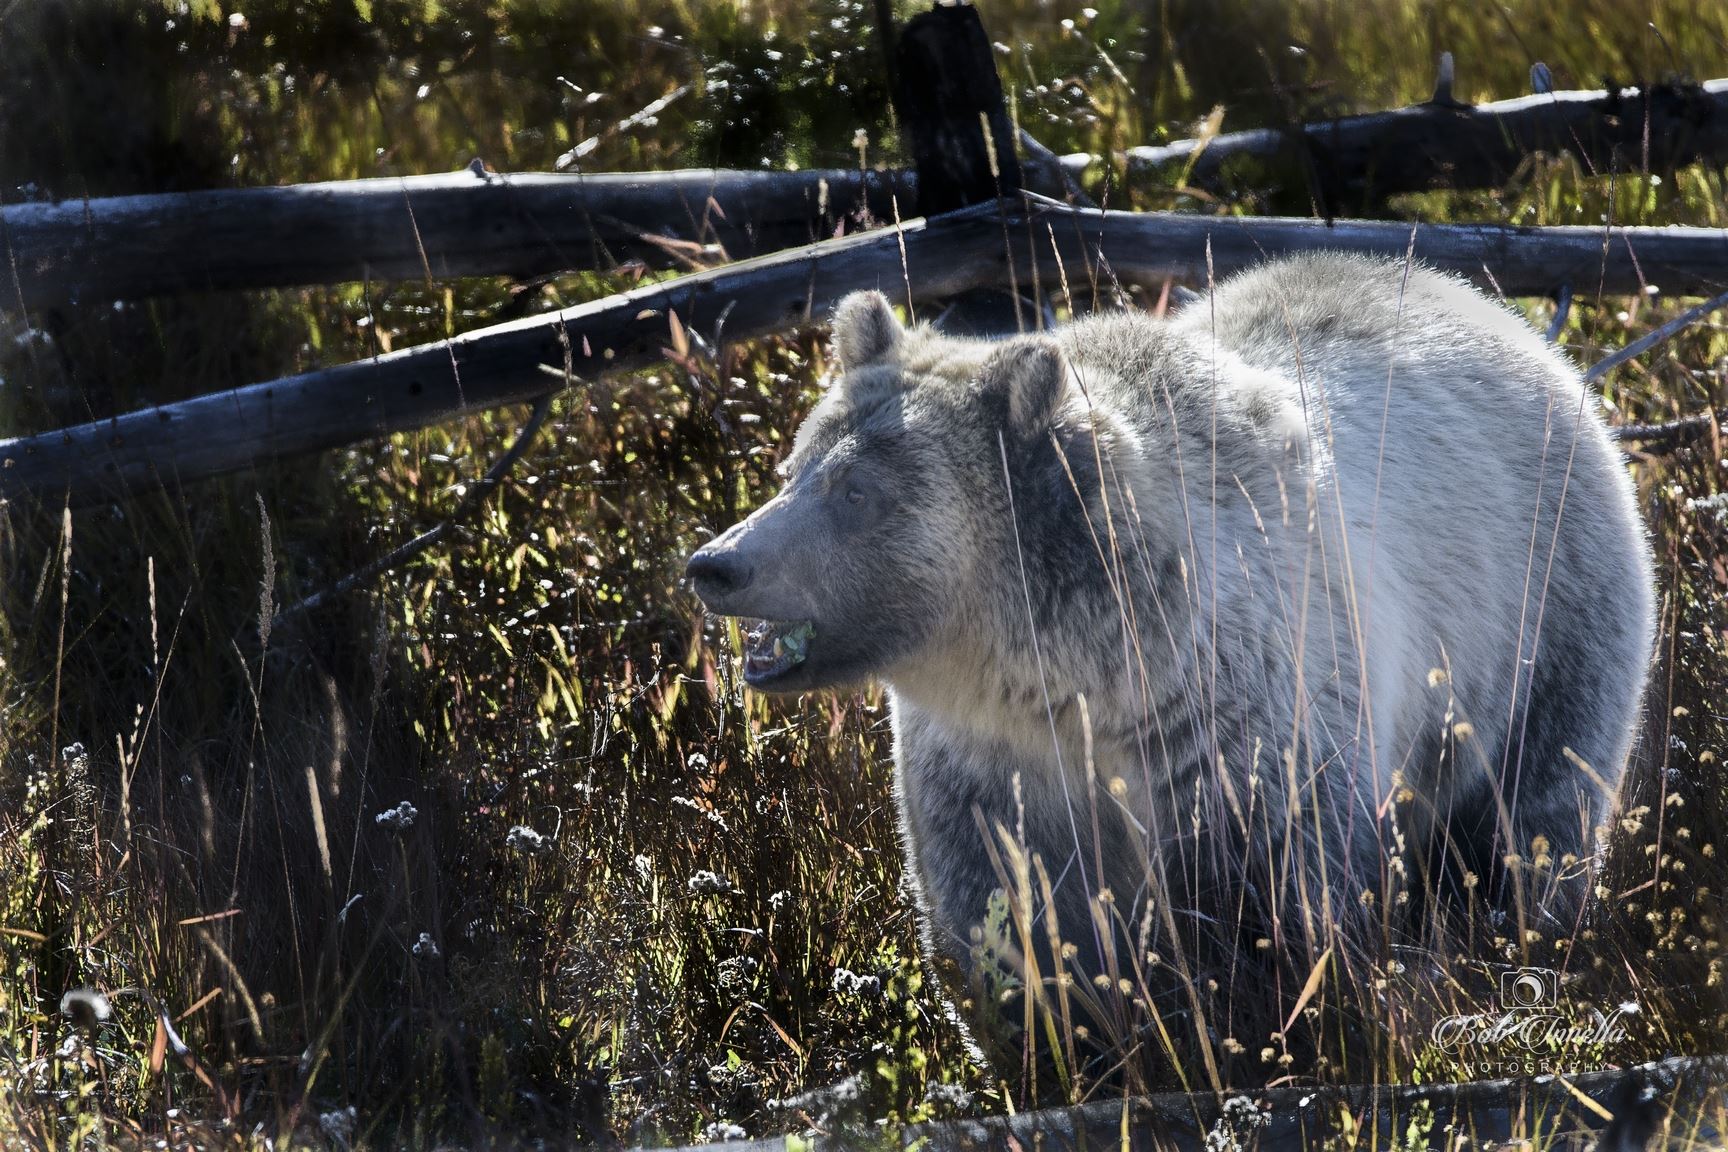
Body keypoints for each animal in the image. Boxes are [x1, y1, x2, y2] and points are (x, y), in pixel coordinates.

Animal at [680, 253, 1651, 1091]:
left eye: (856, 494)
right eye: (796, 463)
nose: (718, 564)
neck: (1073, 680)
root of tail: (1501, 316)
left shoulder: (1238, 719)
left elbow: (1259, 912)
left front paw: (1254, 1039)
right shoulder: (987, 767)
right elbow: (1007, 919)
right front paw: (1063, 1057)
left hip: (1542, 613)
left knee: (1525, 821)